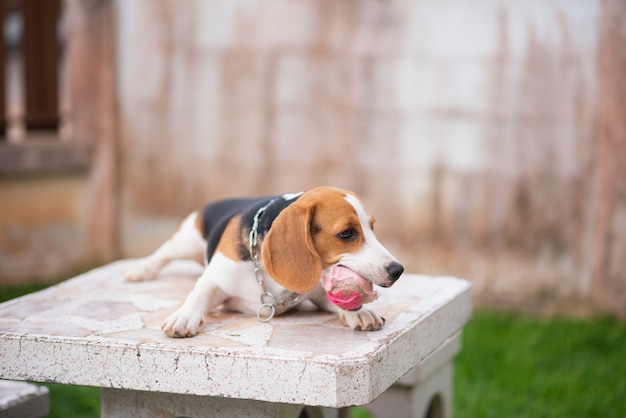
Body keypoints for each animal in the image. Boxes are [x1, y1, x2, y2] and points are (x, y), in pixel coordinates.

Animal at [124, 186, 402, 336]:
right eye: (346, 234)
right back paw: (140, 269)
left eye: (372, 228)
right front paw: (183, 316)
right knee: (164, 252)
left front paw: (360, 312)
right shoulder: (217, 278)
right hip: (187, 239)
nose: (398, 270)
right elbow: (199, 292)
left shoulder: (316, 293)